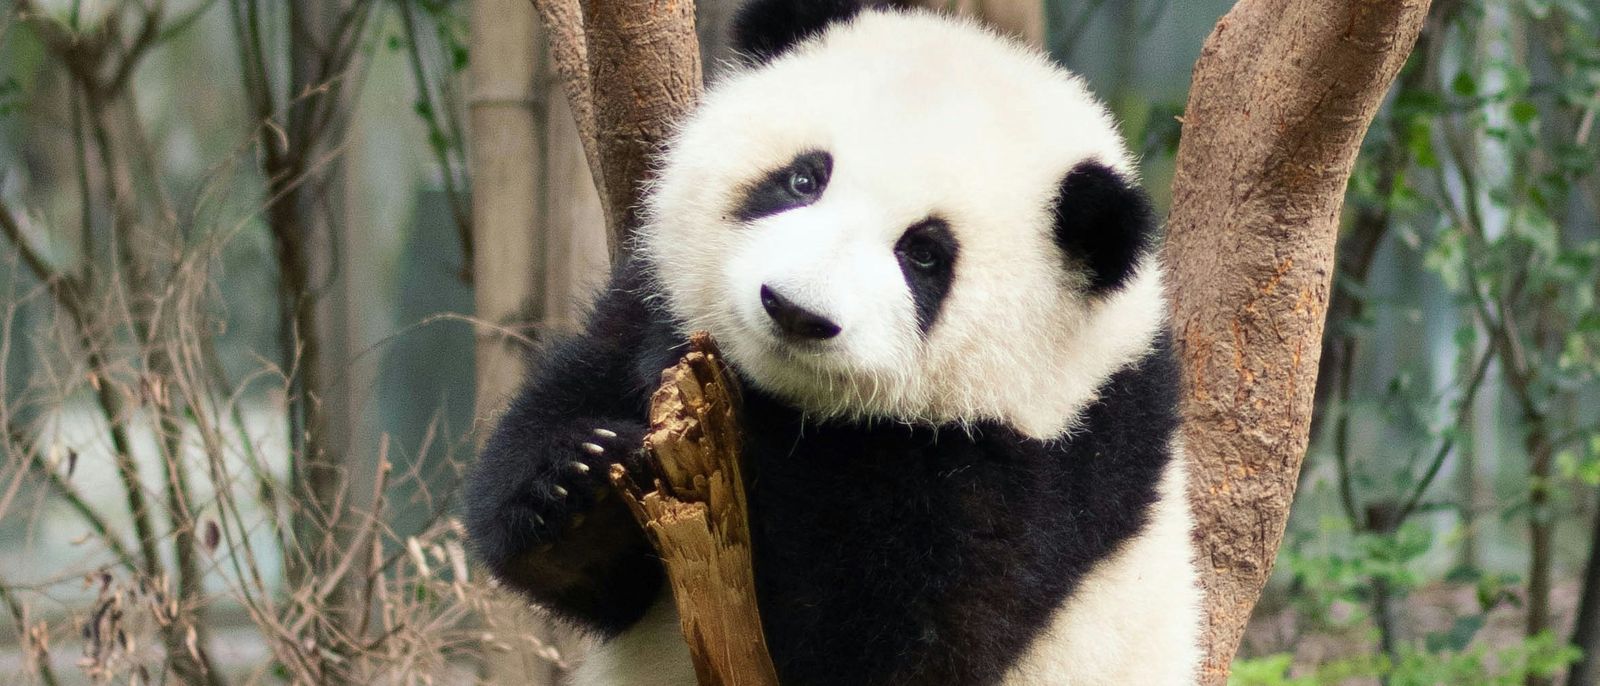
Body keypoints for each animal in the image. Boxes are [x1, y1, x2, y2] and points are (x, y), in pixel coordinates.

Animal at [464, 0, 1203, 684]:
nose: (794, 311)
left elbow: (874, 636)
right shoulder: (645, 300)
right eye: (803, 179)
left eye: (924, 255)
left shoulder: (1034, 475)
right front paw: (578, 480)